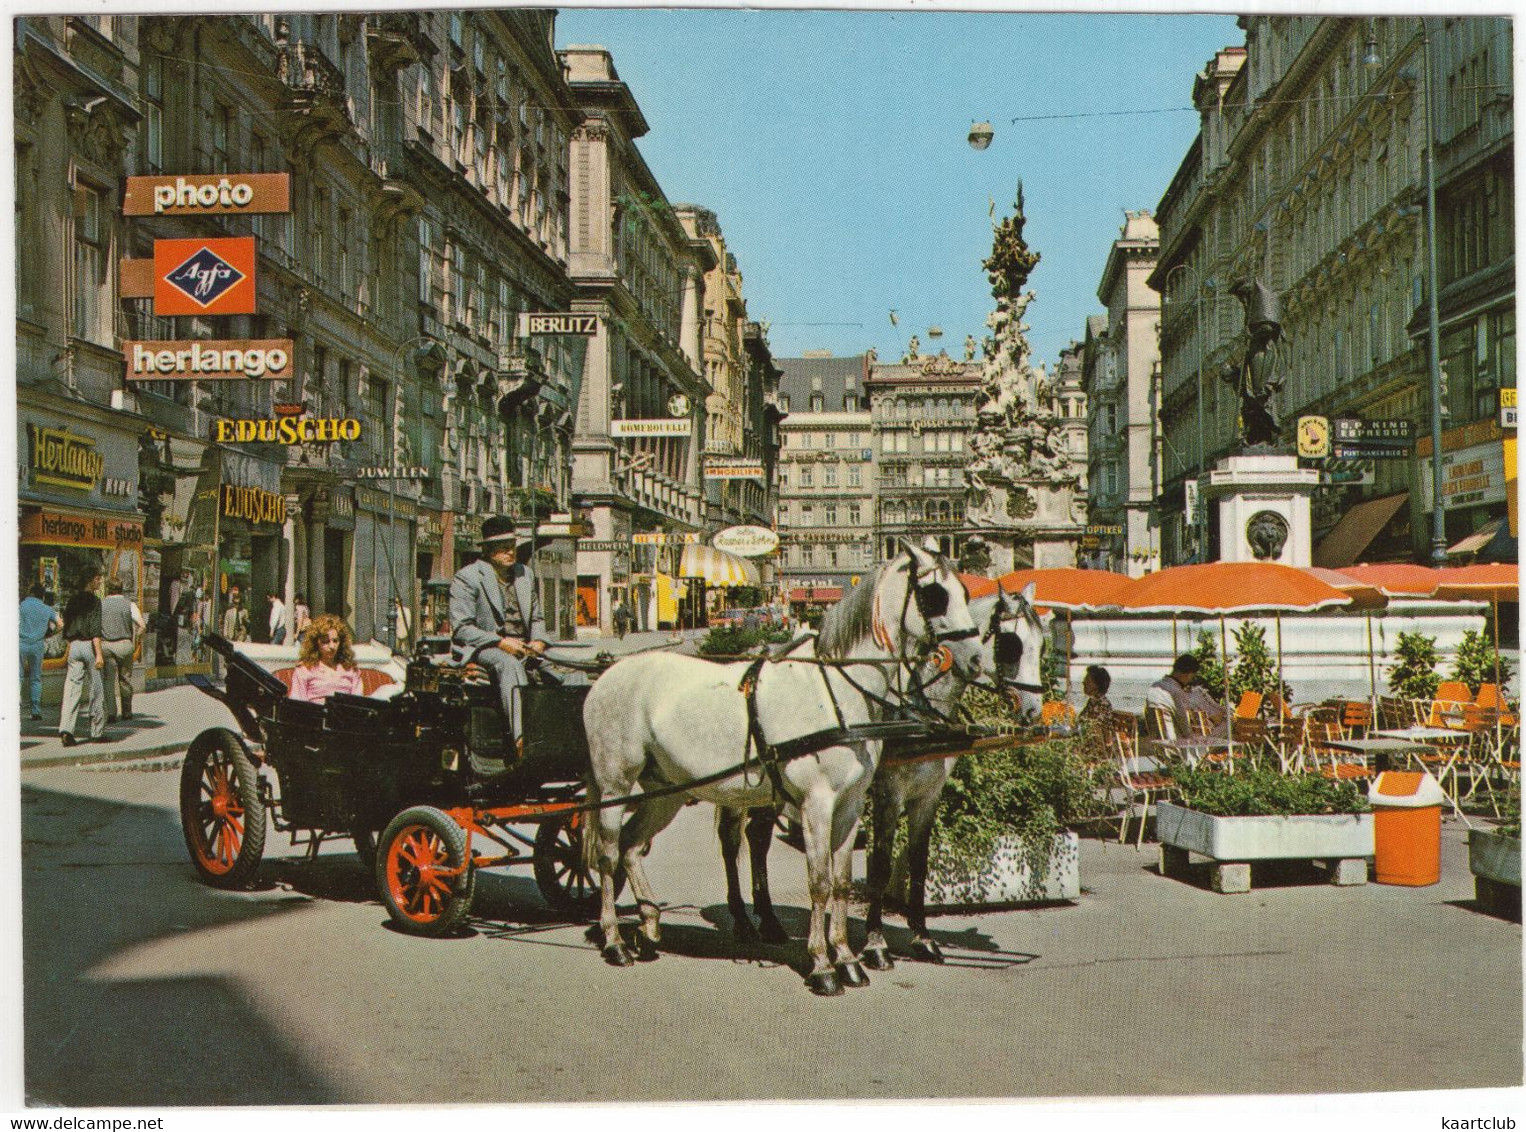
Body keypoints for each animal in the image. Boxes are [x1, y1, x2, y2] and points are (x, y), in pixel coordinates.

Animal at [576, 546, 982, 994]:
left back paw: (649, 929)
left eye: (965, 590)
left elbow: (841, 882)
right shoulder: (818, 803)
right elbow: (819, 883)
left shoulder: (851, 805)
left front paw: (847, 959)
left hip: (668, 791)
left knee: (632, 845)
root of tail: (606, 676)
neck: (836, 691)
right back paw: (615, 940)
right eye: (934, 595)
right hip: (615, 784)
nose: (975, 658)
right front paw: (823, 965)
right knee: (608, 854)